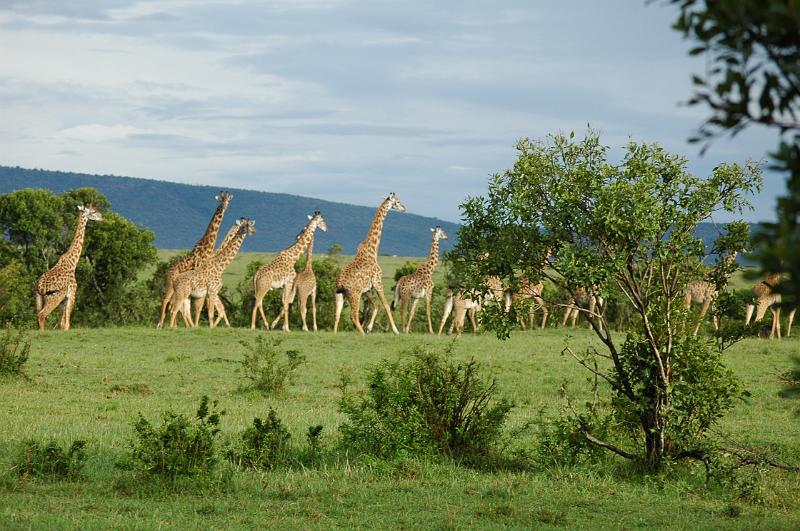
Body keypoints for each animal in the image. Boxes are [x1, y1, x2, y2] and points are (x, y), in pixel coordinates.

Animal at [157, 192, 232, 328]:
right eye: (221, 200)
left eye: (228, 200)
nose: (224, 207)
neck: (206, 246)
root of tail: (169, 271)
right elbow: (199, 304)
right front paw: (199, 325)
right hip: (171, 284)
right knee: (167, 300)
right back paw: (162, 324)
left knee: (174, 303)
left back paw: (174, 325)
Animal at [333, 193, 406, 335]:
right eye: (397, 201)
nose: (404, 208)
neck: (372, 250)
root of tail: (340, 284)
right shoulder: (377, 281)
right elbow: (386, 305)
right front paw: (395, 331)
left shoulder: (367, 288)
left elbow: (376, 305)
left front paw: (369, 328)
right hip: (354, 294)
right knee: (353, 315)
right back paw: (362, 334)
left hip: (340, 295)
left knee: (337, 314)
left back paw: (335, 334)